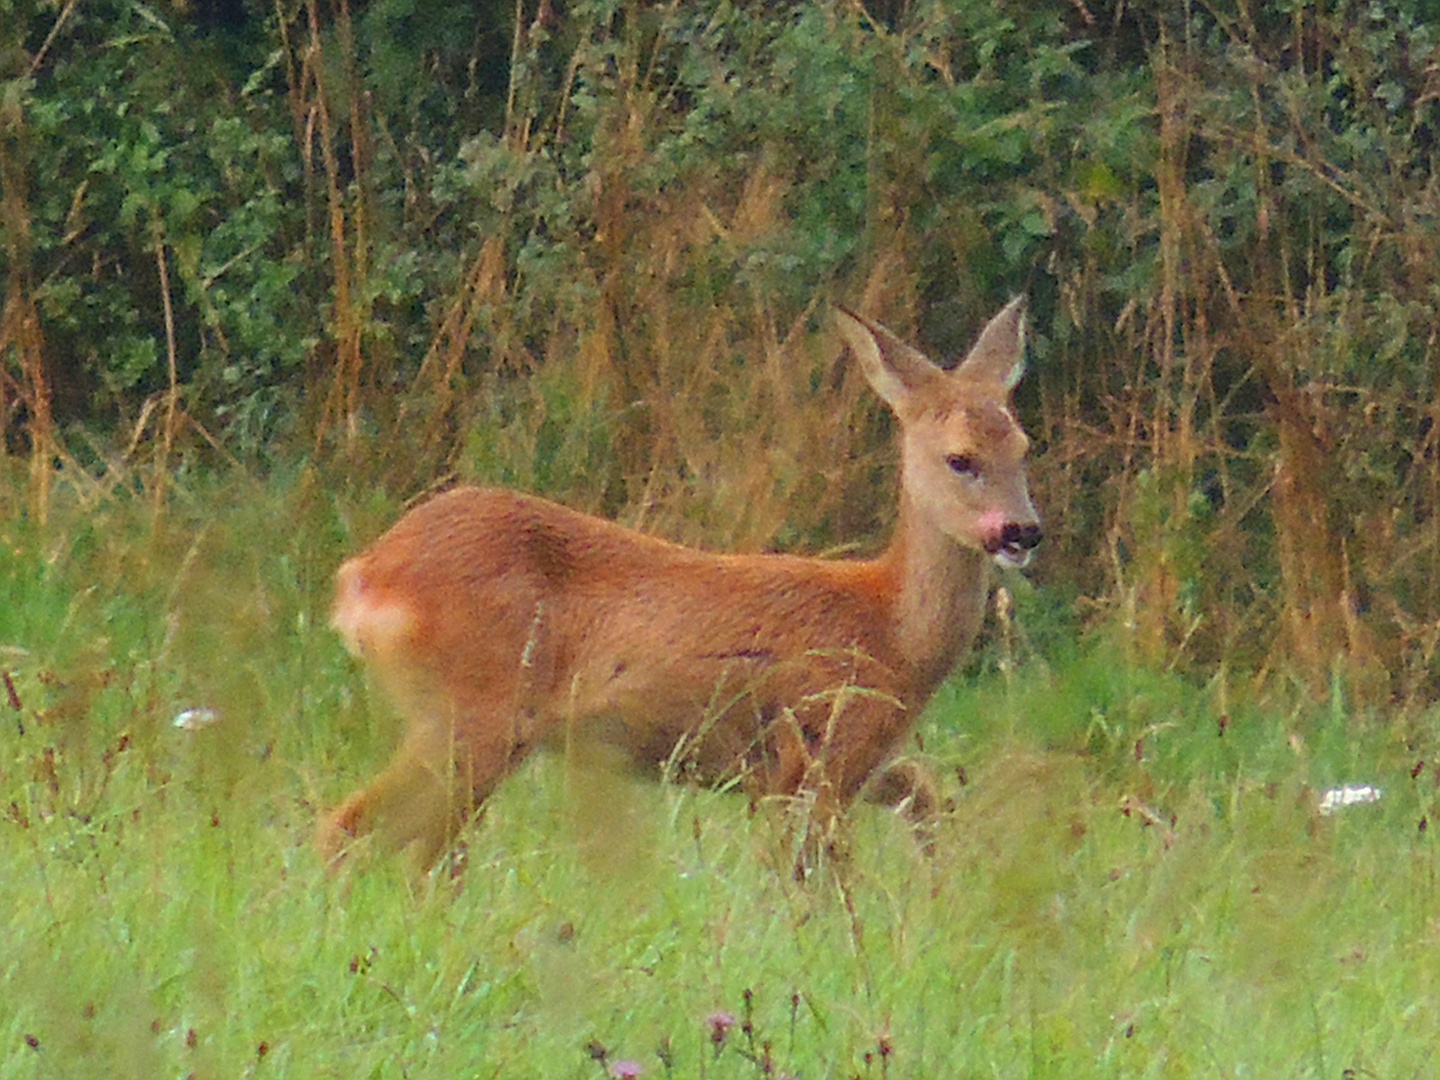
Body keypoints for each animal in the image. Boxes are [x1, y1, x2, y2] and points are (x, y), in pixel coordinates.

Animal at [321, 298, 1042, 869]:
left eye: (1023, 447)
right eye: (960, 459)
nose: (1022, 531)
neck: (891, 628)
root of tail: (363, 575)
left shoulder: (855, 763)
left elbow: (923, 791)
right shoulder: (815, 749)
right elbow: (814, 875)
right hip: (471, 716)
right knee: (354, 828)